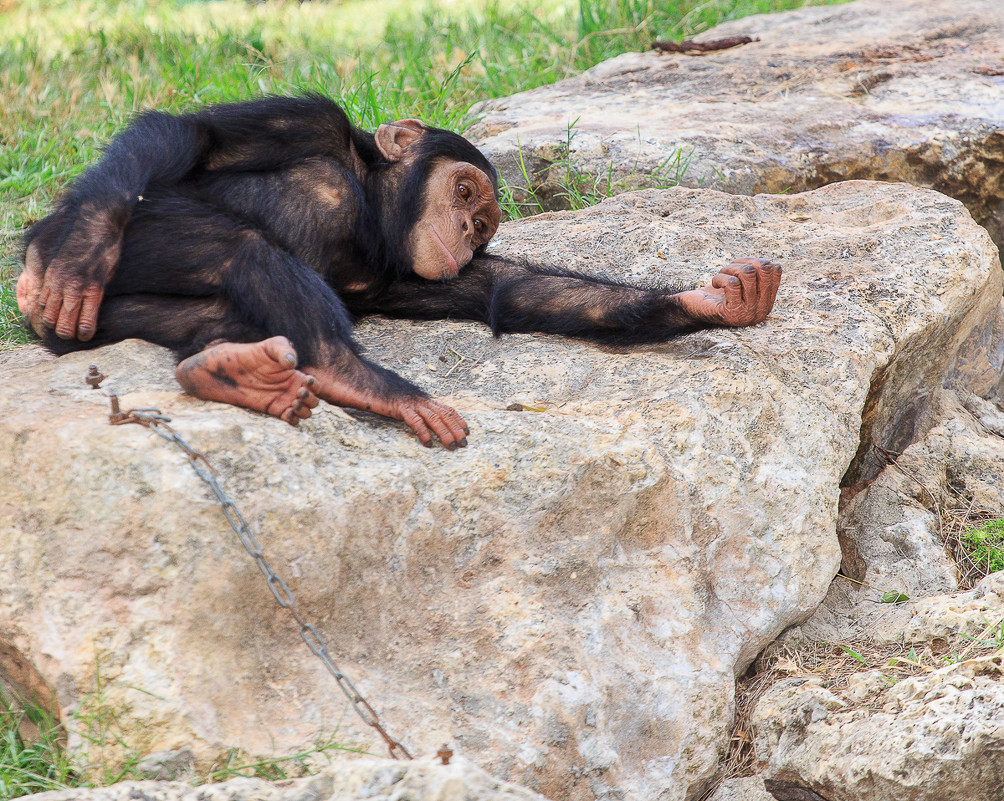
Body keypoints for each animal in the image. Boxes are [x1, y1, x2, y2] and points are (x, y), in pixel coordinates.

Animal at [17, 92, 783, 451]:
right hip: (134, 246)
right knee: (244, 250)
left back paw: (233, 371)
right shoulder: (310, 119)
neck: (368, 204)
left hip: (112, 322)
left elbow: (515, 290)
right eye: (466, 193)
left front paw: (719, 301)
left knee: (214, 311)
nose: (467, 229)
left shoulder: (414, 272)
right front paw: (81, 246)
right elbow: (195, 135)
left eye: (485, 227)